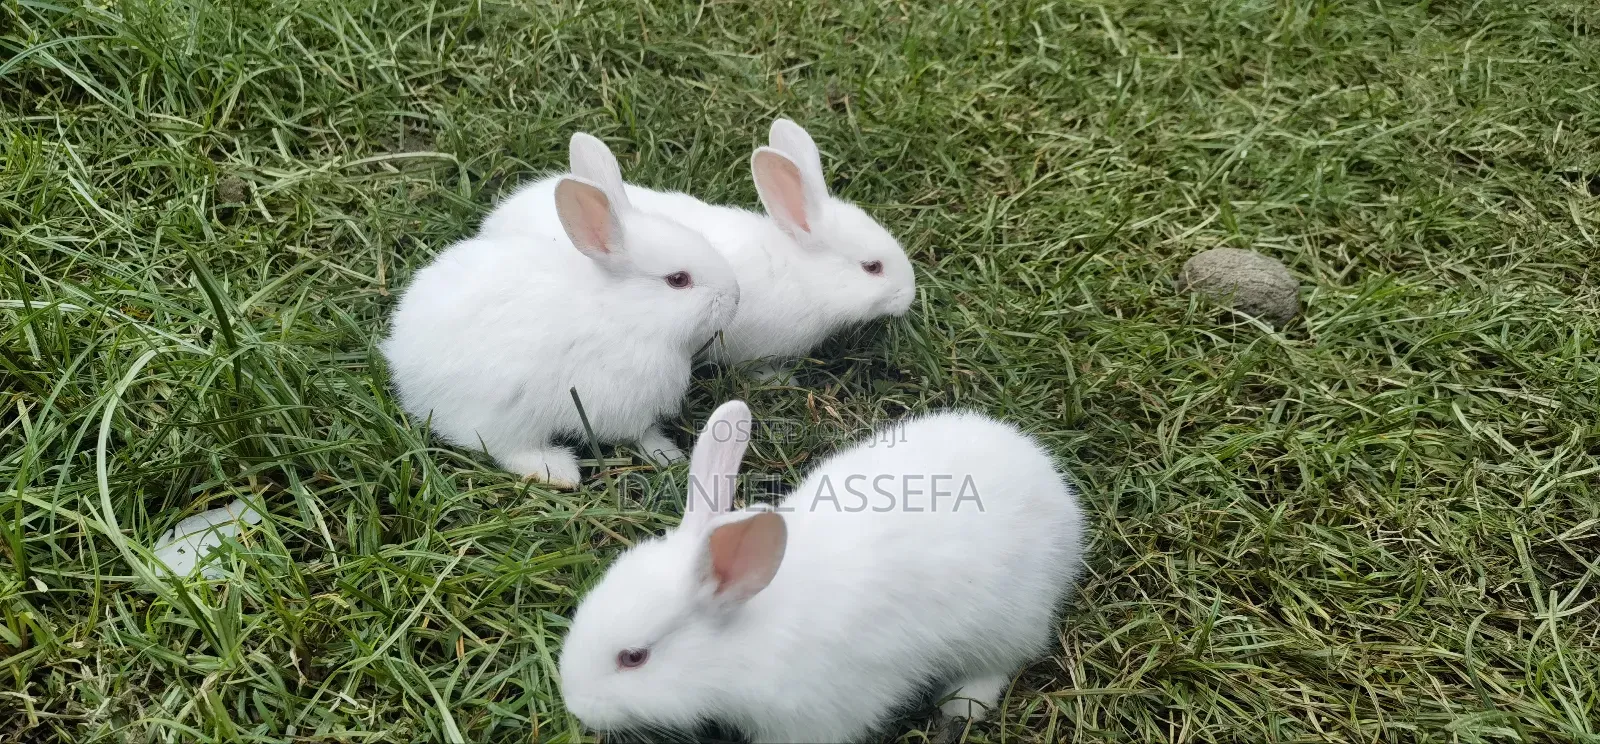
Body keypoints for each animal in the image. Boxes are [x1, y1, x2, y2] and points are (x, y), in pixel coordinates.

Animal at [380, 133, 740, 487]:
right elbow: (641, 433)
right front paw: (668, 454)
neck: (623, 312)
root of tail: (400, 356)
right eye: (678, 280)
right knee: (502, 448)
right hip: (503, 414)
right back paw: (558, 471)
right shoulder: (621, 405)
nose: (735, 297)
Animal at [558, 400, 1087, 743]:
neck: (747, 637)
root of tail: (1056, 494)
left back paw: (961, 706)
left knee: (998, 664)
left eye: (634, 658)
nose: (575, 705)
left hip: (1007, 623)